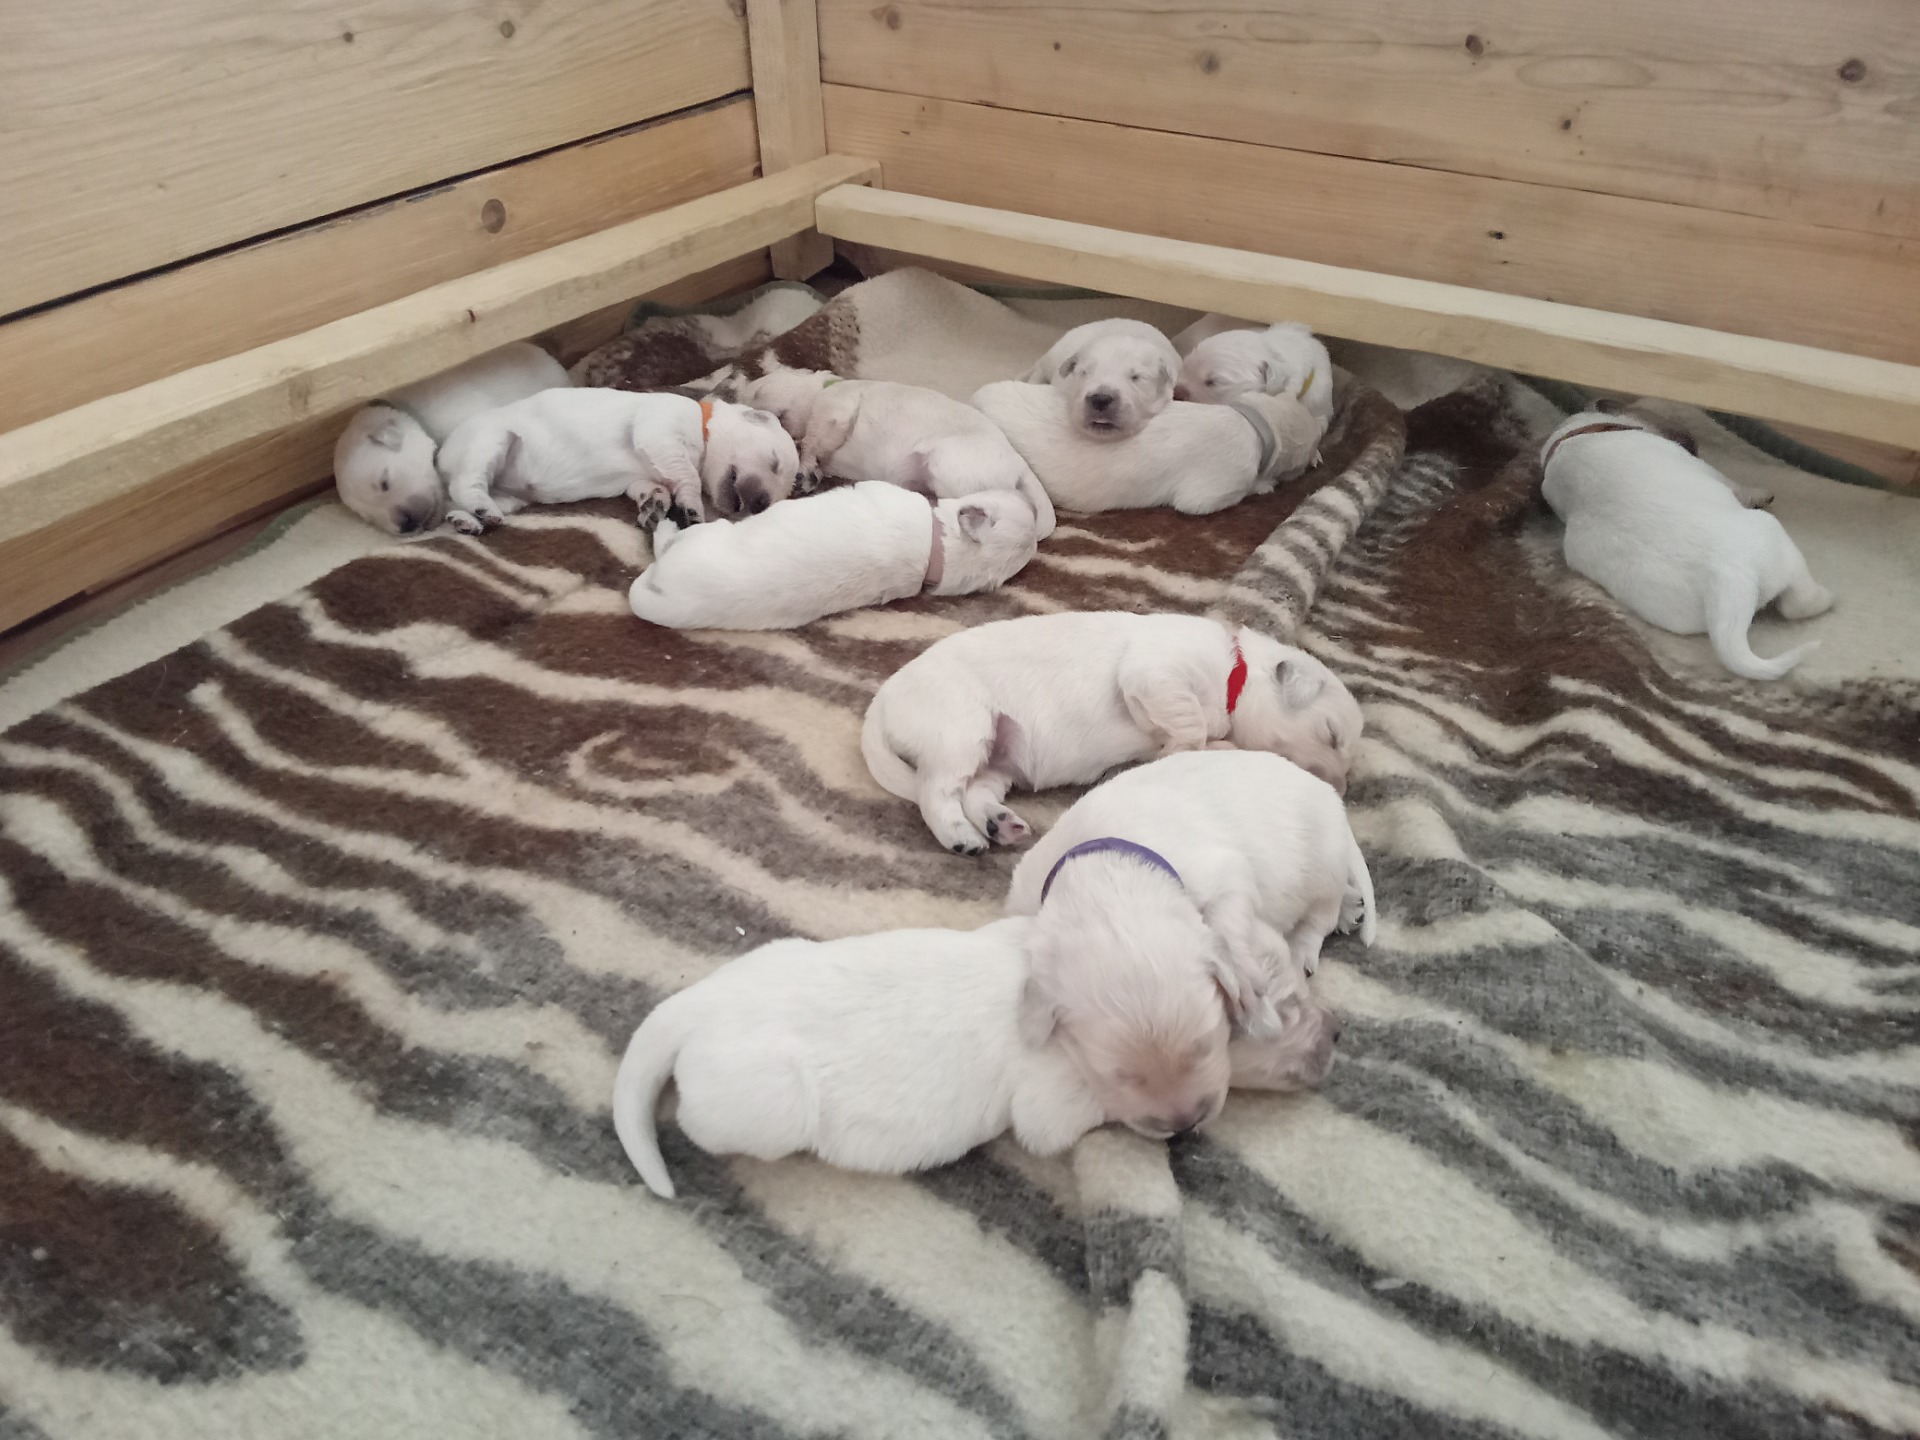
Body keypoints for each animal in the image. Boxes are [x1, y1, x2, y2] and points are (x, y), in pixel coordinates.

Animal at [435, 389, 798, 535]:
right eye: (775, 463)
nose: (762, 504)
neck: (703, 426)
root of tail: (441, 456)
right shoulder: (659, 430)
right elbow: (688, 476)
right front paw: (692, 506)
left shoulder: (641, 475)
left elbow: (648, 487)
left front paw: (654, 506)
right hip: (490, 439)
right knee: (466, 483)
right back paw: (480, 510)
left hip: (511, 495)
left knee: (466, 498)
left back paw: (466, 520)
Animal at [729, 367, 1057, 537]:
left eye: (758, 392)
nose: (742, 405)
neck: (820, 390)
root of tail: (1020, 466)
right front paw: (807, 476)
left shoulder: (836, 410)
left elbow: (814, 440)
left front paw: (804, 465)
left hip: (947, 466)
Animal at [862, 612, 1365, 855]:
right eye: (1331, 734)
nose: (1342, 790)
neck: (1235, 672)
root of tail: (882, 700)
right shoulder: (1155, 671)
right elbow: (1190, 723)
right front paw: (1183, 745)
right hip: (962, 726)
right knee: (936, 792)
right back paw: (960, 837)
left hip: (998, 754)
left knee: (975, 791)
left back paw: (1000, 824)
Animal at [1006, 750, 1374, 1101]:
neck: (1103, 874)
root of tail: (1328, 795)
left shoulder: (1222, 873)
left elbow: (1230, 919)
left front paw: (1249, 986)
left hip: (1324, 863)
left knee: (1319, 917)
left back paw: (1307, 946)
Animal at [1540, 410, 1833, 680]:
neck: (1572, 437)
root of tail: (1723, 579)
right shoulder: (1711, 472)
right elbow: (1735, 484)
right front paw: (1760, 493)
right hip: (1773, 535)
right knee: (1798, 604)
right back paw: (1827, 600)